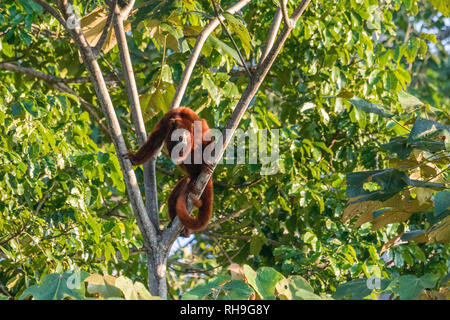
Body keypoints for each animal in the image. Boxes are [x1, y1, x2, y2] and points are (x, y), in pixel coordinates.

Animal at [125, 107, 213, 235]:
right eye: (177, 137)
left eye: (182, 135)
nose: (181, 140)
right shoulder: (165, 122)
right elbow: (156, 141)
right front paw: (134, 159)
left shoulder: (193, 119)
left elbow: (205, 135)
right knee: (172, 199)